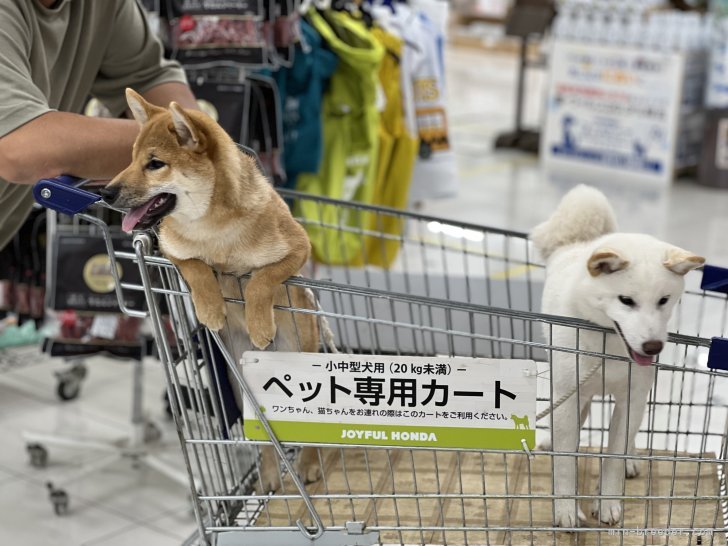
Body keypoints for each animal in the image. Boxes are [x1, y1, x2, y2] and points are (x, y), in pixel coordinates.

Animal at [104, 88, 324, 488]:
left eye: (154, 164)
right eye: (130, 159)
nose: (105, 193)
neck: (214, 232)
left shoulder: (299, 247)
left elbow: (260, 280)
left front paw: (258, 322)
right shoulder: (171, 250)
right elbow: (197, 268)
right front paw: (210, 307)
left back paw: (309, 466)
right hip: (242, 388)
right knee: (263, 438)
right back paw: (270, 476)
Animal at [532, 185, 704, 524]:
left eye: (664, 300)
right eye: (626, 300)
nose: (653, 347)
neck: (607, 345)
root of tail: (579, 242)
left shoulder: (632, 399)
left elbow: (613, 455)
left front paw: (608, 501)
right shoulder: (569, 398)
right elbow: (566, 460)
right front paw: (565, 508)